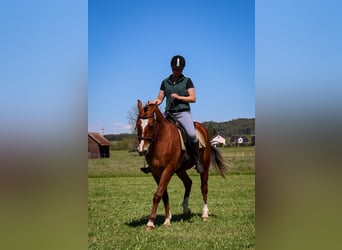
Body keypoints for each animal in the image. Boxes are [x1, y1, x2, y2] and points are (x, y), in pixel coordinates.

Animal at [136, 99, 227, 230]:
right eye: (137, 124)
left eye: (151, 125)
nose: (142, 150)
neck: (161, 140)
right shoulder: (156, 172)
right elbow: (164, 194)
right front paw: (167, 218)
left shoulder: (168, 170)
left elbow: (158, 194)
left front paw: (150, 223)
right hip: (180, 170)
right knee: (188, 183)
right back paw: (186, 210)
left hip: (204, 167)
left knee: (204, 187)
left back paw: (205, 214)